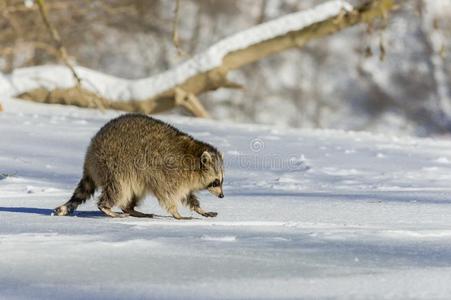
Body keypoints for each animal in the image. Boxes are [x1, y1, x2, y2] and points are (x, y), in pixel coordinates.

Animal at [54, 113, 224, 219]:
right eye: (216, 182)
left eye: (222, 181)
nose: (222, 196)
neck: (193, 157)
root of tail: (89, 155)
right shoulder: (168, 173)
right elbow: (167, 195)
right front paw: (176, 213)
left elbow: (188, 196)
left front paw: (199, 208)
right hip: (113, 164)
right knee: (119, 188)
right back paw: (106, 207)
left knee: (133, 193)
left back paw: (130, 209)